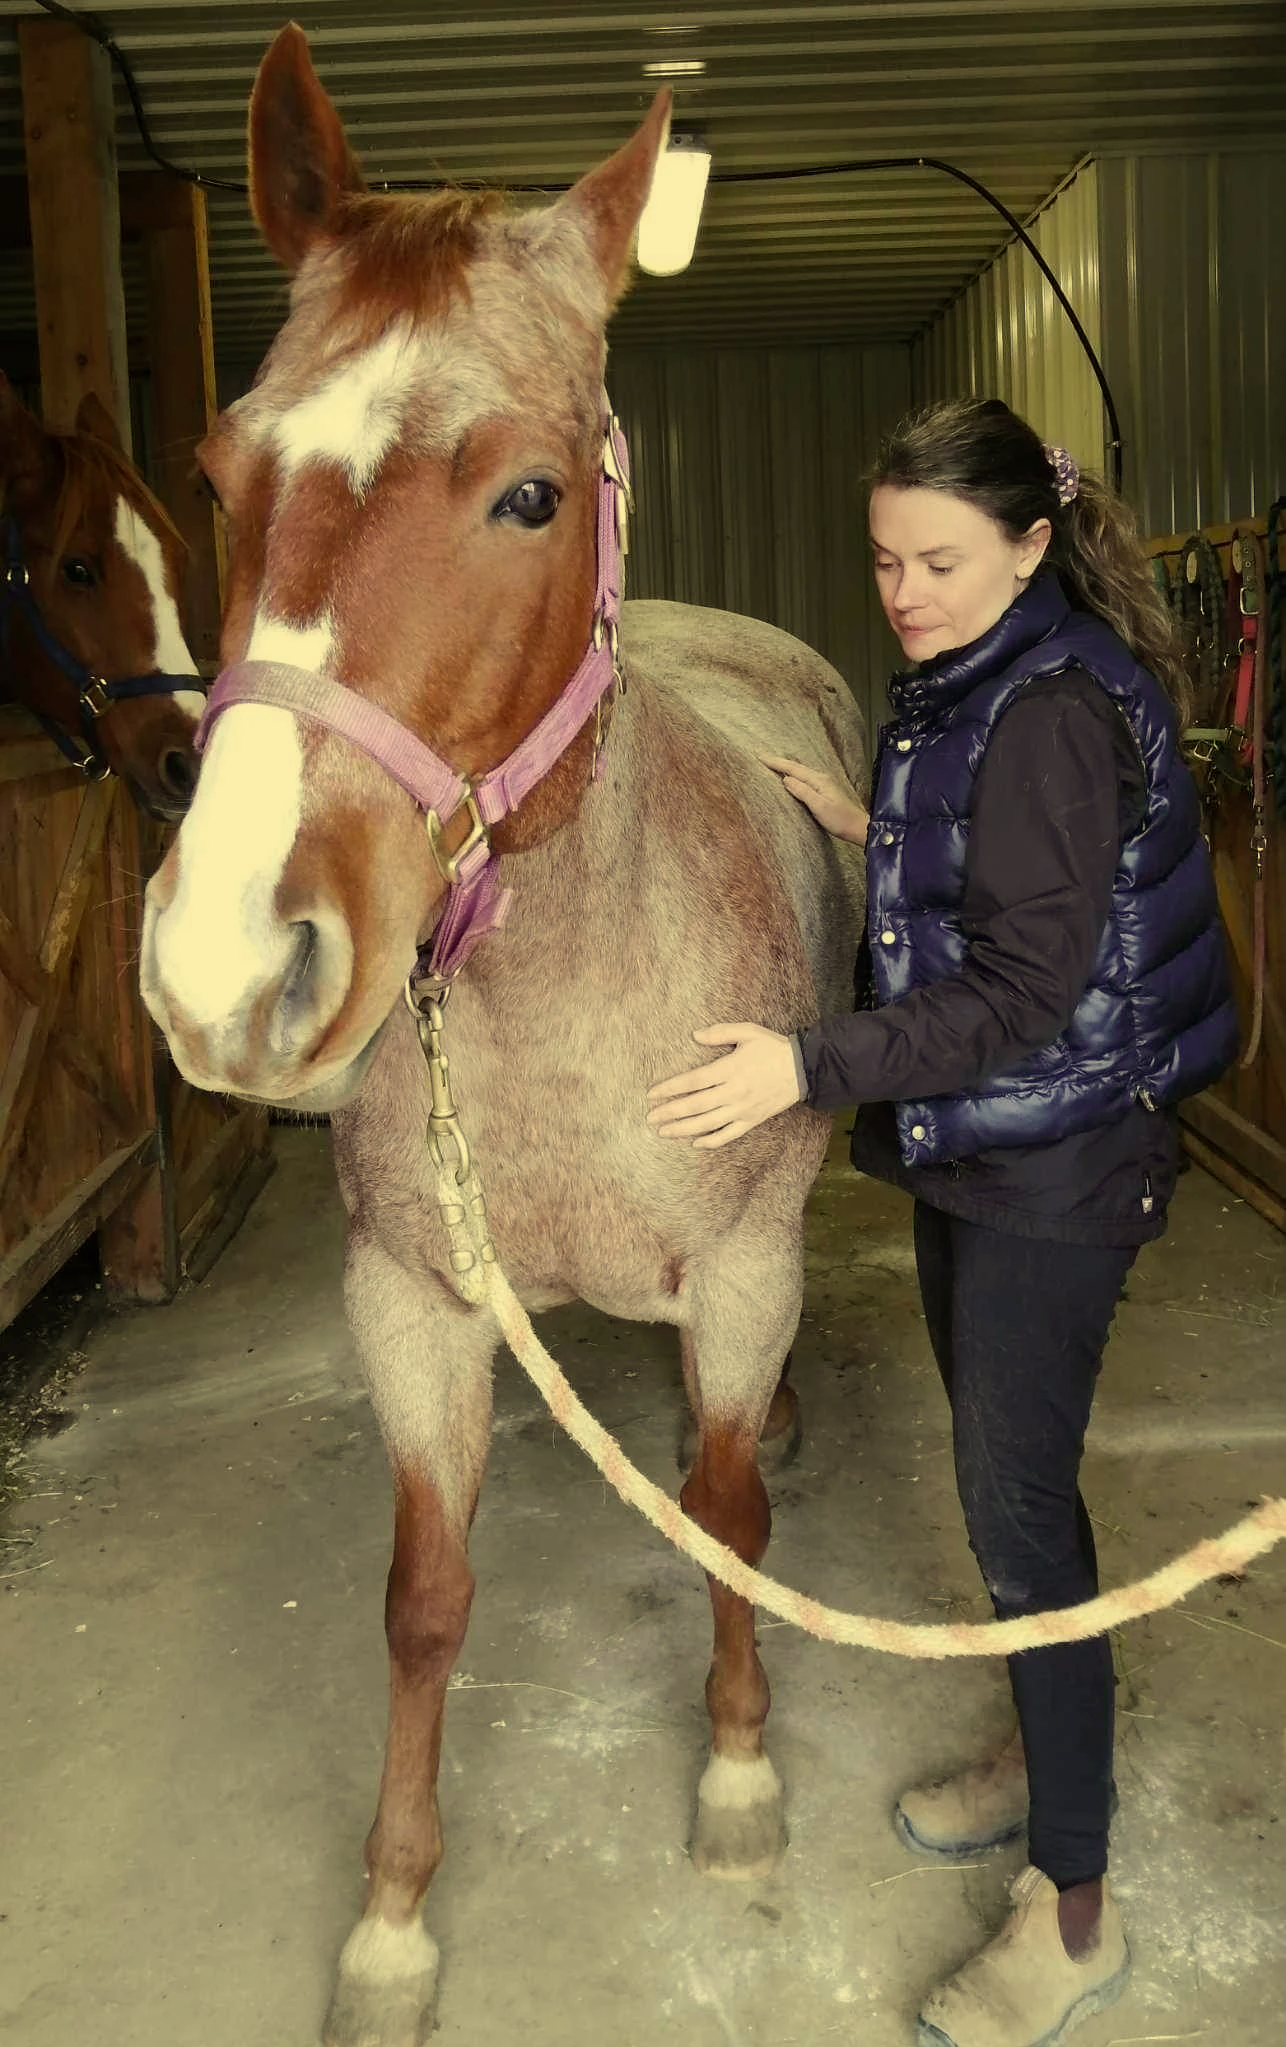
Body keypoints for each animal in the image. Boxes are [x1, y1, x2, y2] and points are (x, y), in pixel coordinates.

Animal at [139, 26, 868, 2044]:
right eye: (219, 465)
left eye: (531, 495)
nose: (224, 968)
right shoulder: (407, 1303)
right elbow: (424, 1596)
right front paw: (390, 1917)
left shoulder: (743, 1265)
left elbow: (722, 1512)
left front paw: (737, 1772)